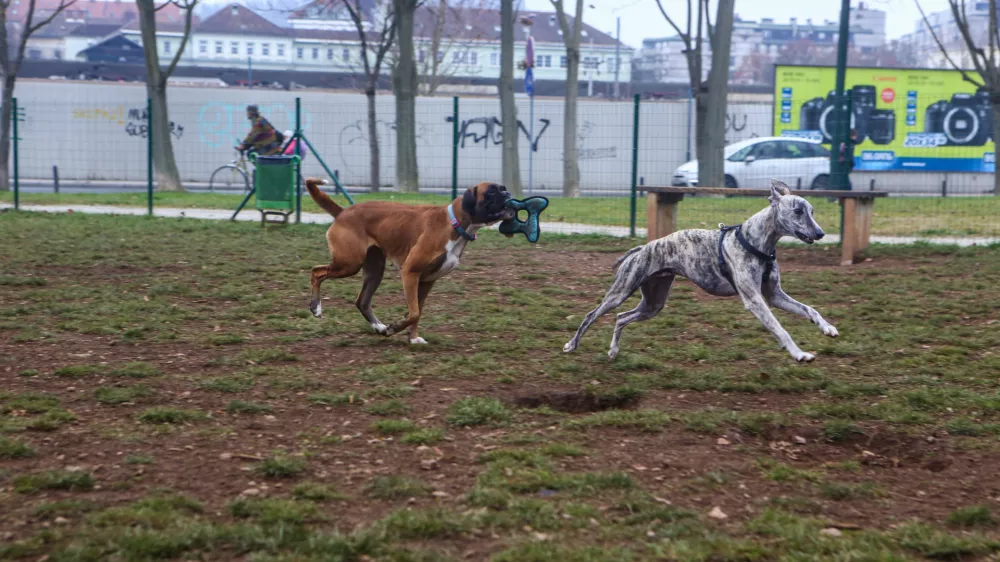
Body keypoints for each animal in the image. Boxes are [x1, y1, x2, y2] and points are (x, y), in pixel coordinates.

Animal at [304, 176, 512, 342]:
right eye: (491, 191)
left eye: (502, 188)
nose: (508, 192)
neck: (455, 223)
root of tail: (342, 212)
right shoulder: (410, 273)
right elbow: (414, 313)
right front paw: (395, 328)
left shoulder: (427, 281)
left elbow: (417, 312)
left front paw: (412, 338)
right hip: (349, 264)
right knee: (317, 271)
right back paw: (316, 308)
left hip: (374, 271)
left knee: (362, 301)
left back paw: (379, 327)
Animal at [564, 179, 836, 364]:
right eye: (798, 211)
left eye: (812, 211)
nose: (820, 233)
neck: (756, 242)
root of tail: (644, 247)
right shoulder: (755, 300)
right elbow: (780, 328)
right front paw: (799, 353)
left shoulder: (775, 296)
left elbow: (809, 309)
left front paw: (827, 328)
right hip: (620, 292)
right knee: (591, 315)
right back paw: (571, 344)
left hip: (653, 303)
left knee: (621, 317)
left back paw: (613, 350)